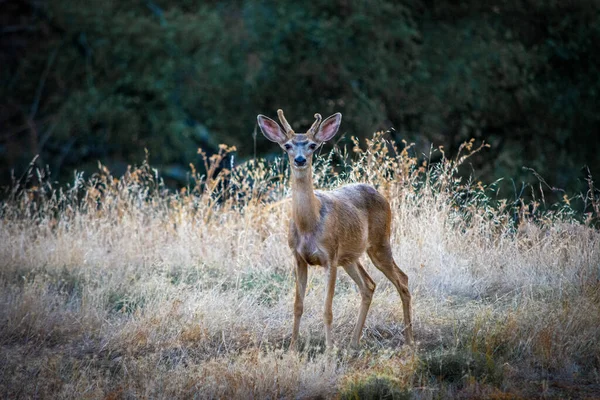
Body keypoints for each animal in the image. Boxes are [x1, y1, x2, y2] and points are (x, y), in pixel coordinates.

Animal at [255, 108, 414, 348]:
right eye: (288, 146)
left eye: (312, 145)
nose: (300, 159)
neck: (309, 225)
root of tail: (380, 194)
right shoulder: (298, 258)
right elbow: (297, 306)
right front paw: (292, 348)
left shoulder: (329, 256)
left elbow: (327, 309)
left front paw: (329, 350)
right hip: (349, 257)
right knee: (368, 286)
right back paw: (354, 343)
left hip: (379, 242)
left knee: (402, 280)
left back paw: (409, 340)